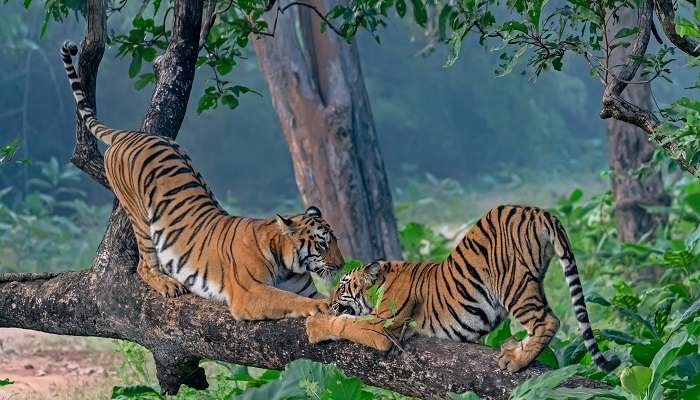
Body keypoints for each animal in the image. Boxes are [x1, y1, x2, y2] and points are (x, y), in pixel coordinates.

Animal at [61, 41, 344, 318]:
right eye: (322, 244)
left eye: (335, 241)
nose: (341, 265)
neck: (285, 261)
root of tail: (130, 133)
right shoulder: (249, 293)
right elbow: (289, 298)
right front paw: (320, 307)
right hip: (139, 216)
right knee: (144, 264)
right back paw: (168, 284)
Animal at [306, 205, 616, 374]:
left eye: (342, 285)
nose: (330, 299)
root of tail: (536, 211)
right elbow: (346, 320)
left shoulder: (382, 326)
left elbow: (345, 322)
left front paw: (315, 324)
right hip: (531, 282)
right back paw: (513, 346)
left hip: (512, 284)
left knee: (549, 320)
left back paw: (515, 360)